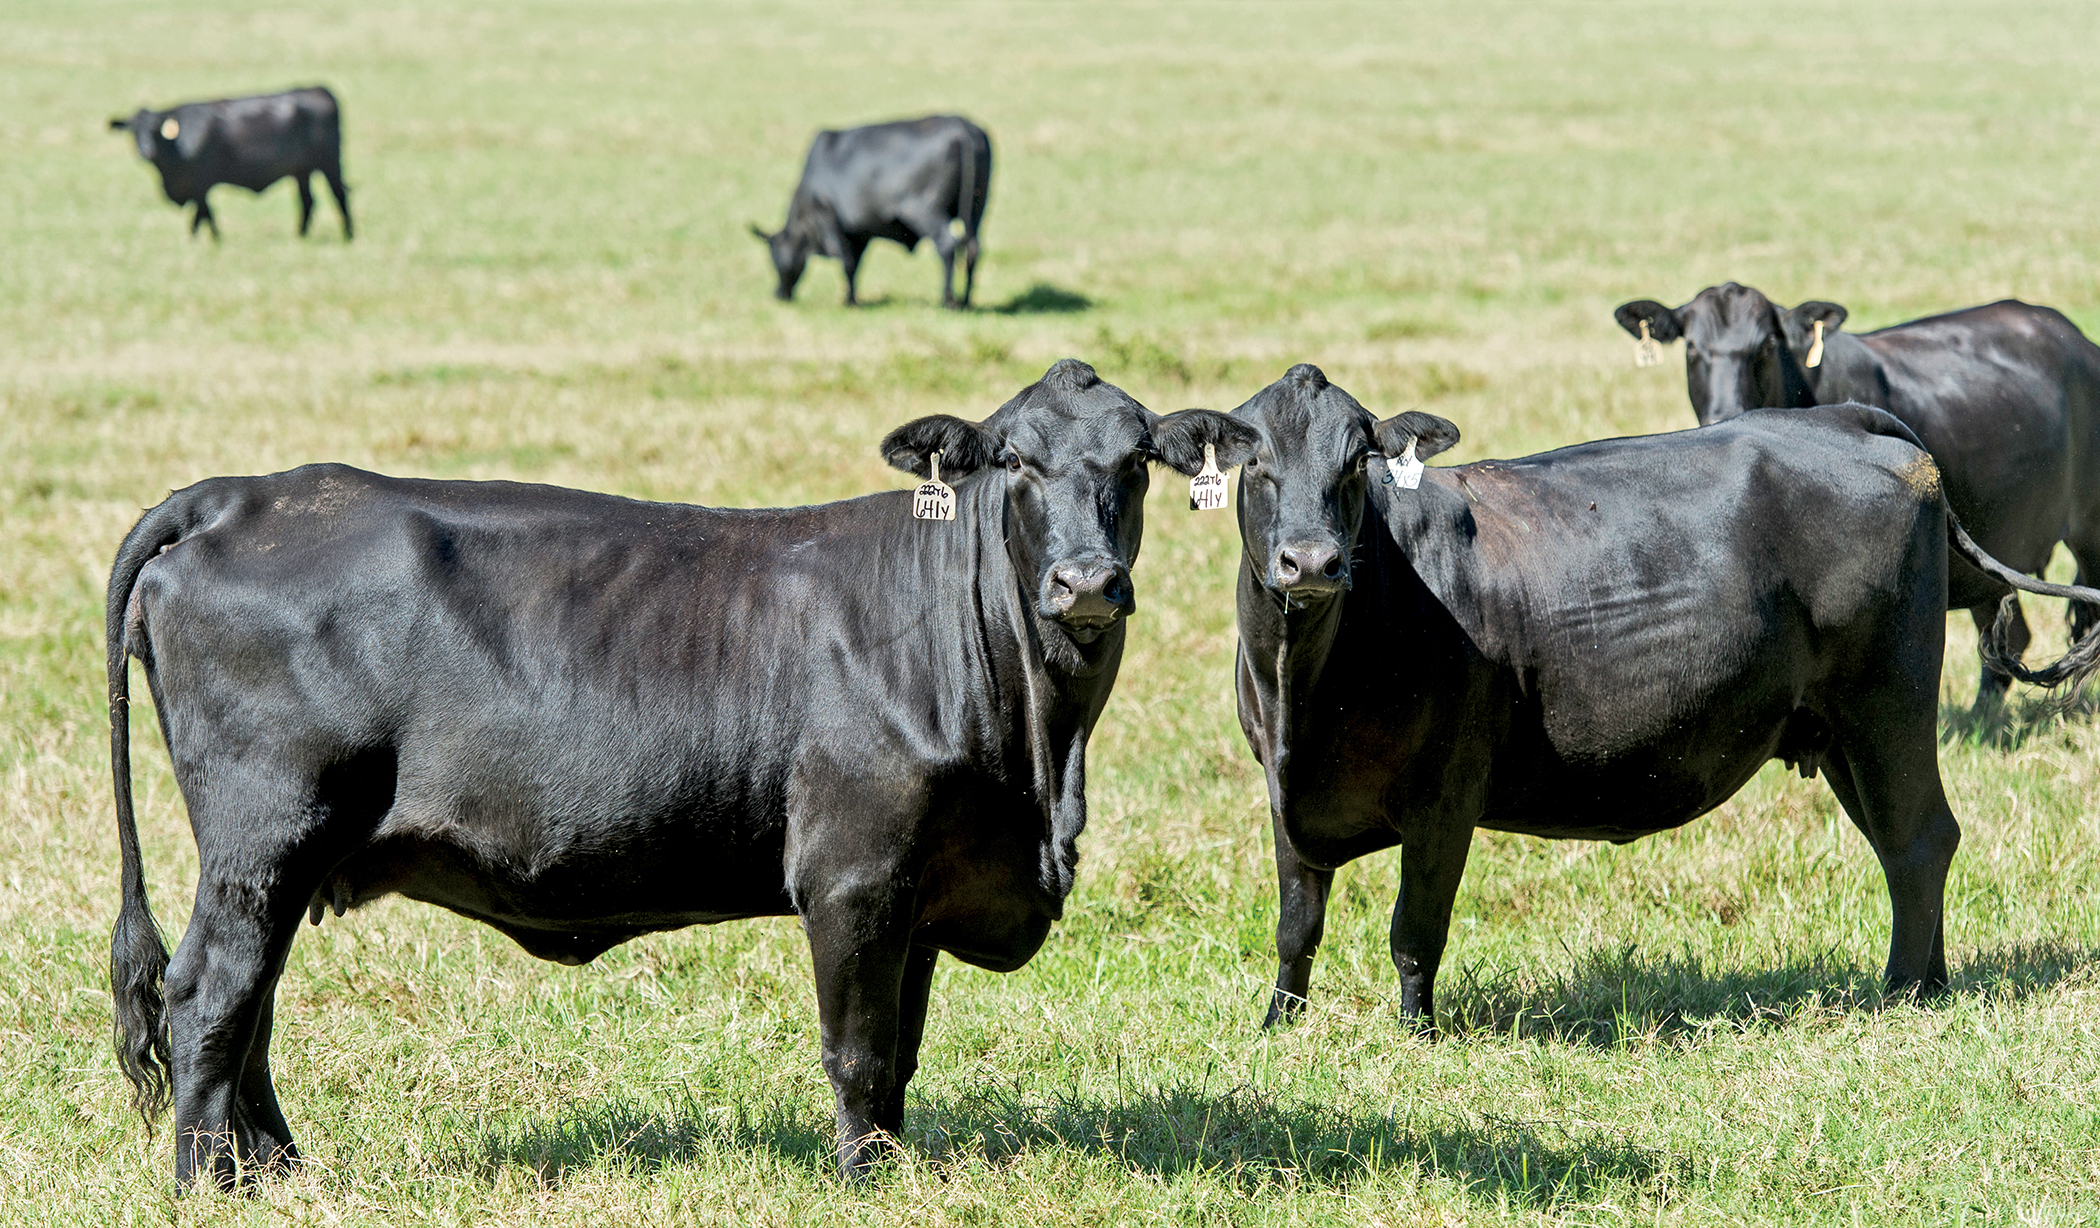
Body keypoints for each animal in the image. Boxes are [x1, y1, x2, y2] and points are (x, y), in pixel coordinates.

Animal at [104, 358, 1257, 1188]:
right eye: (1014, 460)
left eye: (1136, 462)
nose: (1085, 581)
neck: (1039, 763)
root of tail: (241, 495)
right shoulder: (851, 874)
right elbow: (858, 1049)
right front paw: (862, 1182)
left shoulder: (924, 887)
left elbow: (902, 1053)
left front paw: (892, 1165)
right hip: (263, 837)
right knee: (208, 998)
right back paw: (210, 1184)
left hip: (282, 861)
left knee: (252, 1009)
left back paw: (281, 1171)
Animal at [110, 87, 351, 240]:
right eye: (133, 131)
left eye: (154, 131)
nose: (145, 152)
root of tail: (319, 90)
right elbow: (203, 215)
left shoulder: (201, 185)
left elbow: (203, 216)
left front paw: (211, 241)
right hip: (301, 170)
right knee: (308, 201)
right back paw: (300, 236)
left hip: (330, 163)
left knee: (339, 196)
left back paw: (349, 236)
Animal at [751, 115, 990, 308]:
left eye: (774, 259)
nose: (779, 294)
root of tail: (960, 126)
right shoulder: (860, 234)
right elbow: (856, 264)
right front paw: (853, 297)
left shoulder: (828, 219)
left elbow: (846, 261)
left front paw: (849, 302)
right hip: (976, 210)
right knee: (972, 247)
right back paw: (966, 301)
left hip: (924, 211)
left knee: (947, 245)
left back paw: (948, 301)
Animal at [1215, 364, 2100, 1031]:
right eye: (1254, 464)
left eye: (1355, 463)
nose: (1312, 562)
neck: (1305, 686)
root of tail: (1845, 420)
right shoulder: (1284, 794)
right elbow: (1297, 927)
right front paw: (1277, 1027)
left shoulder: (1445, 796)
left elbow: (1414, 931)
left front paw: (1415, 1037)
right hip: (1840, 729)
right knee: (1907, 842)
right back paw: (1931, 983)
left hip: (1887, 705)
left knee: (1919, 841)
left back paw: (1904, 994)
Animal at [1614, 283, 2100, 717]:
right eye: (1692, 349)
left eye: (1766, 345)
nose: (1724, 412)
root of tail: (2068, 332)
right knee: (2008, 635)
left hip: (2084, 532)